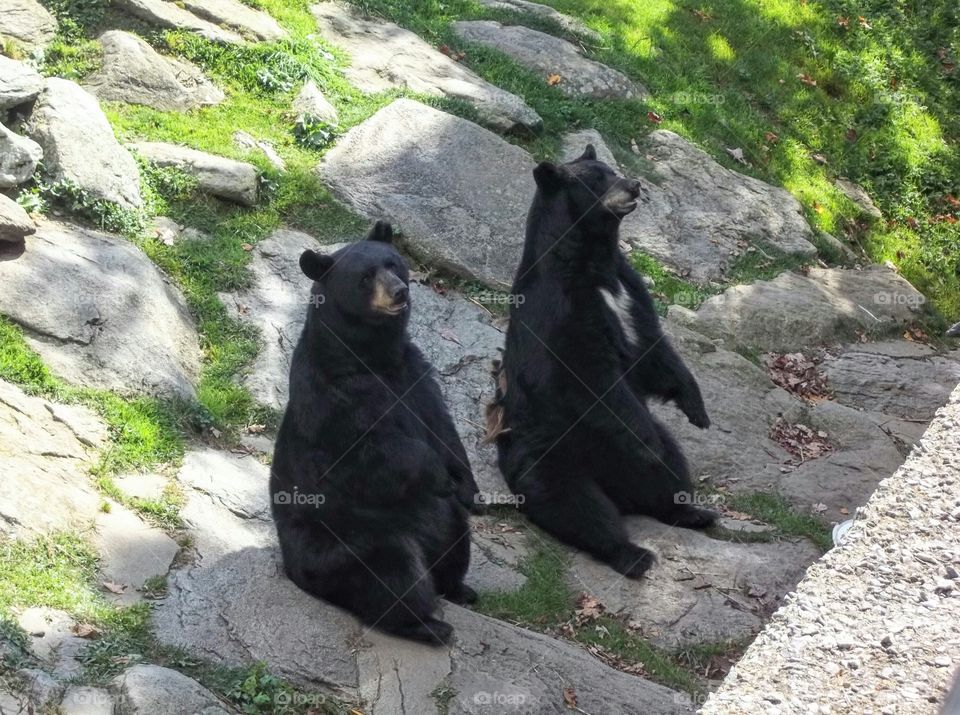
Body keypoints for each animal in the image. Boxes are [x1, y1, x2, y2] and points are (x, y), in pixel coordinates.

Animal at [270, 220, 480, 644]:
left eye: (393, 263)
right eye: (365, 278)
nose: (399, 291)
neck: (371, 356)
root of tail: (294, 570)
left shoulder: (414, 375)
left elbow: (443, 428)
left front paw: (468, 488)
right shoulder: (333, 401)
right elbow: (372, 458)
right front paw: (437, 474)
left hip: (436, 523)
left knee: (454, 536)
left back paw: (459, 588)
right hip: (348, 542)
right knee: (392, 573)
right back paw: (426, 624)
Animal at [487, 145, 715, 579]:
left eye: (612, 169)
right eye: (596, 180)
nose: (634, 184)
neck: (592, 260)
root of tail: (617, 489)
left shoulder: (629, 291)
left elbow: (653, 349)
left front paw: (697, 409)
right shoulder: (562, 312)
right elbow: (593, 378)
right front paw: (647, 441)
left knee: (671, 471)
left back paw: (694, 512)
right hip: (549, 457)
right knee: (578, 506)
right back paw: (633, 553)